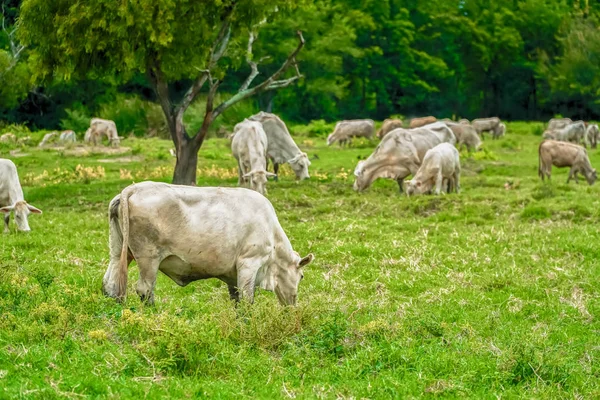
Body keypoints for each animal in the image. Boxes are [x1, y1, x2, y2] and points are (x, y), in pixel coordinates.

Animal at [101, 183, 314, 304]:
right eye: (302, 276)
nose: (293, 304)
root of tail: (133, 188)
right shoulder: (249, 263)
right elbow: (247, 299)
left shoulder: (232, 273)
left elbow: (236, 298)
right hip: (148, 258)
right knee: (145, 290)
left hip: (119, 251)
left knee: (109, 284)